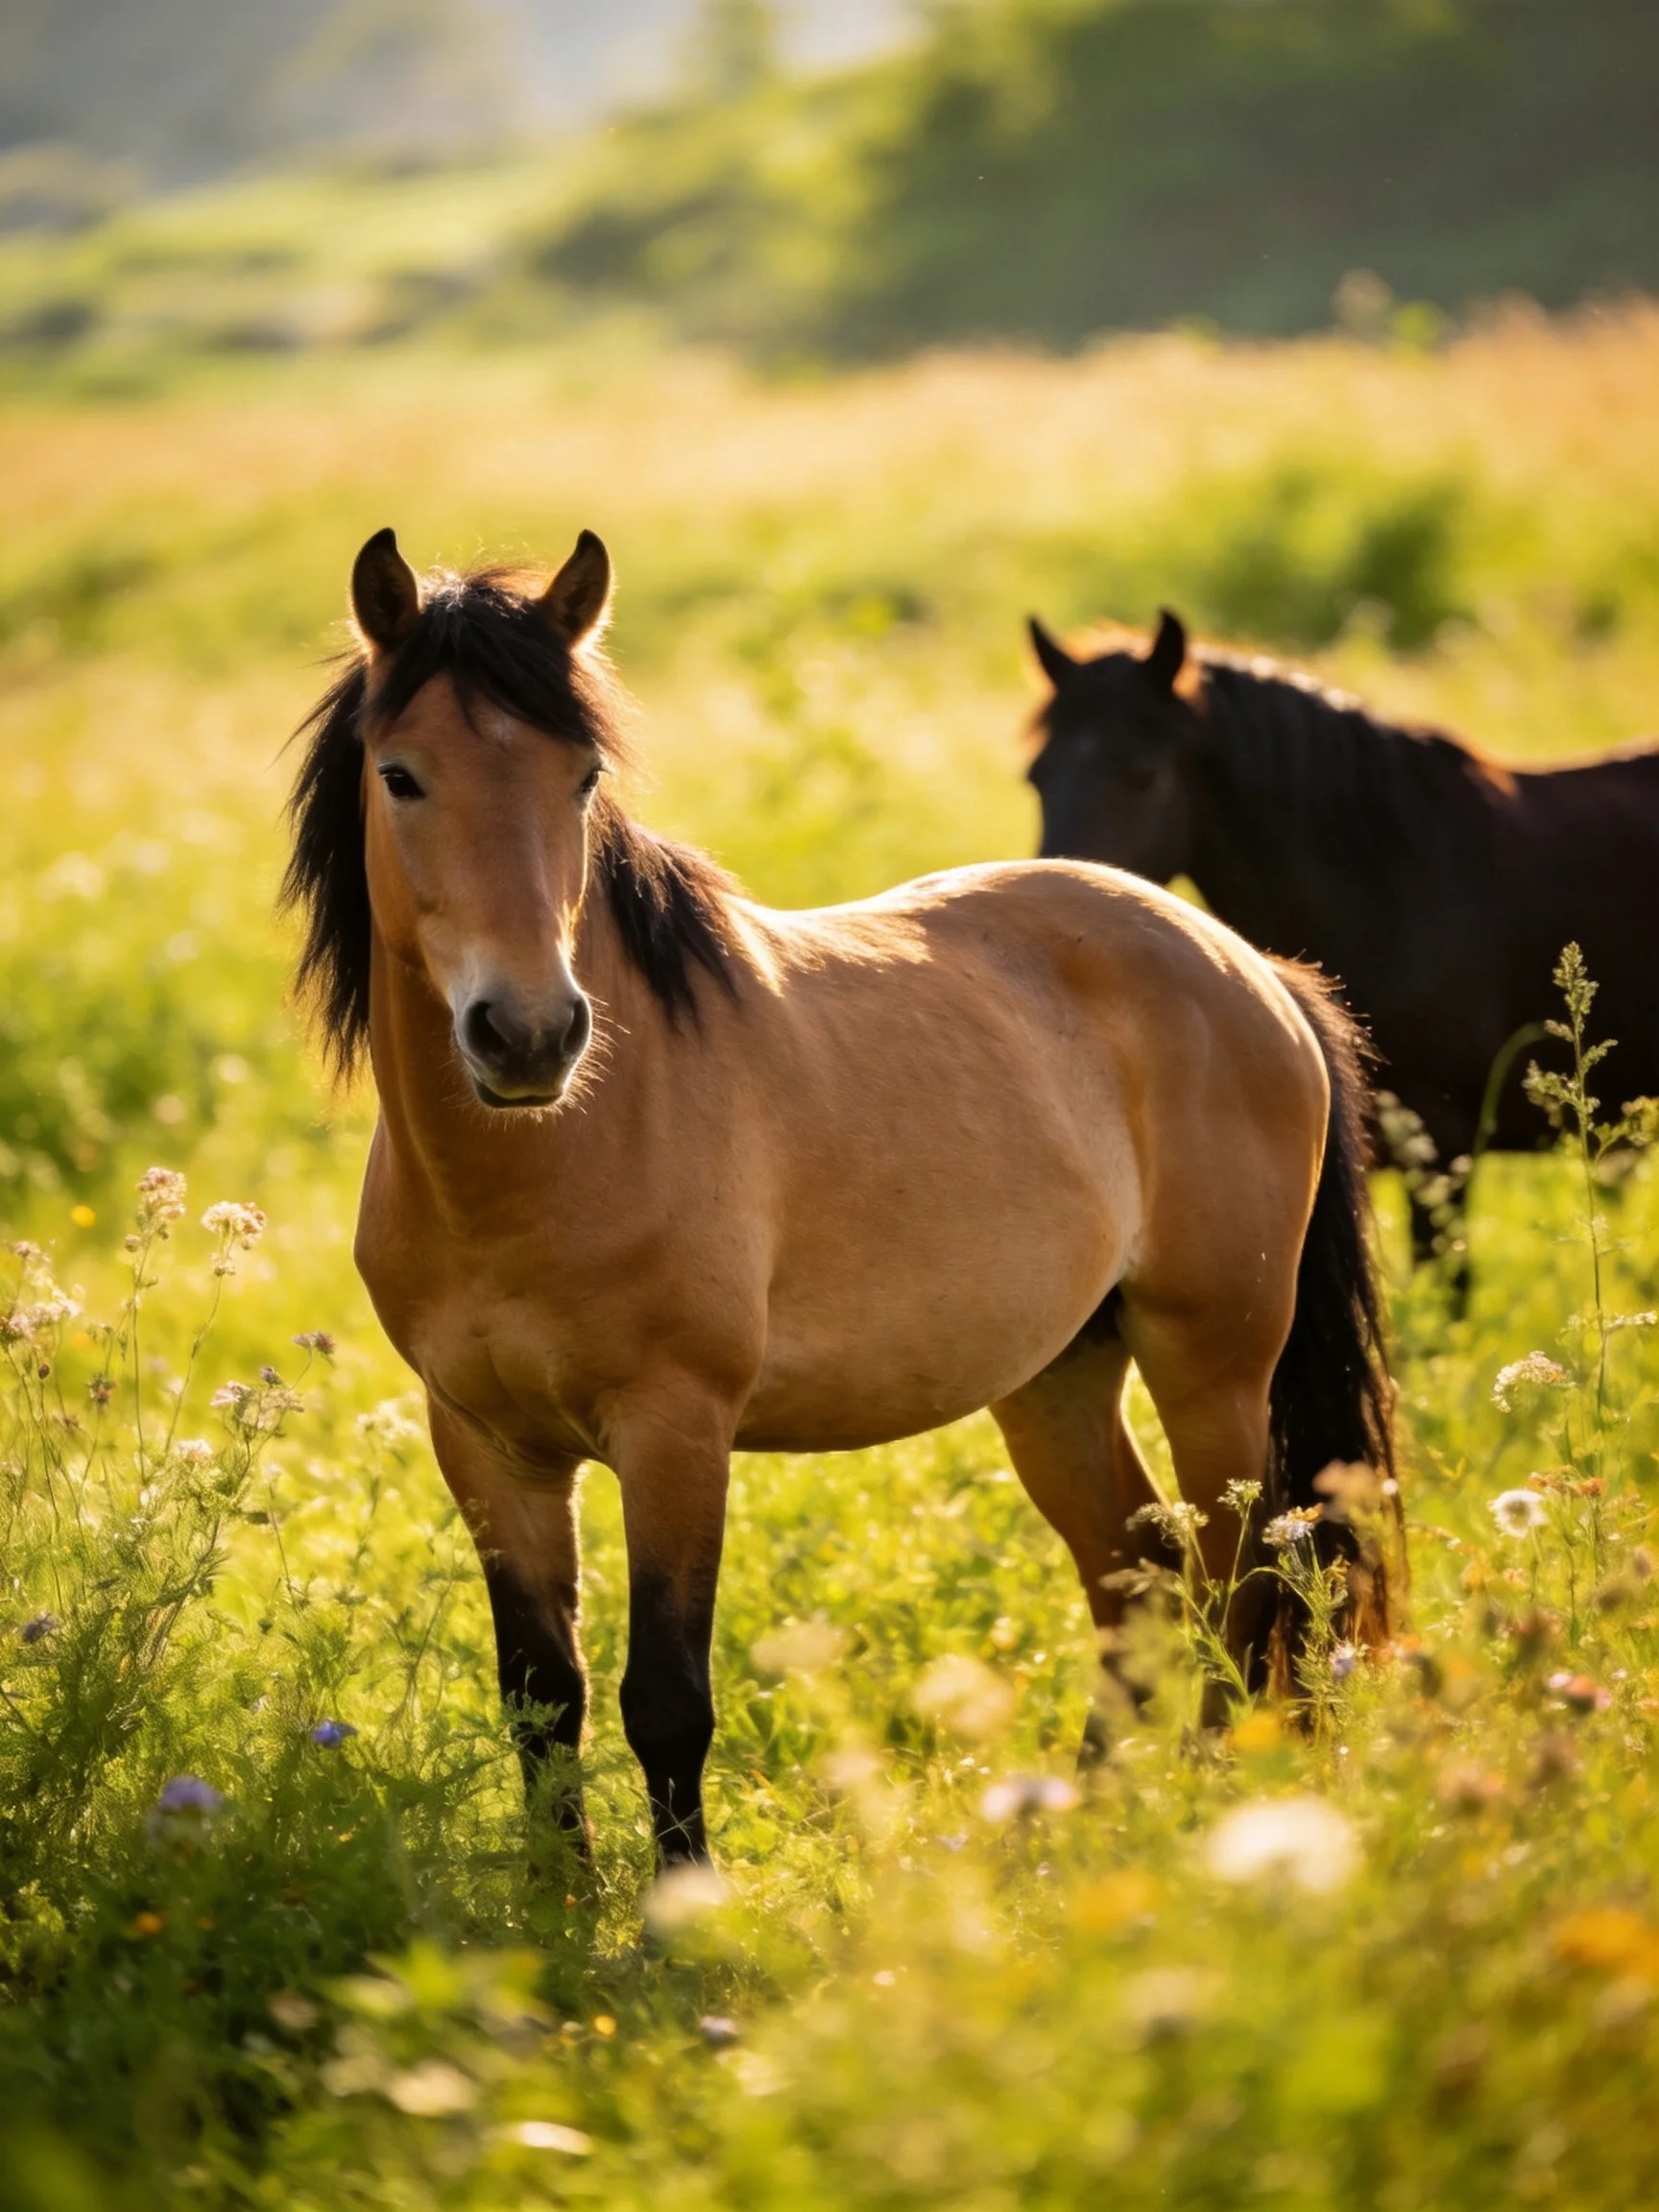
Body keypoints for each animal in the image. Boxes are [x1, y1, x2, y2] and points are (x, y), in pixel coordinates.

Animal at [282, 528, 1393, 1867]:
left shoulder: (675, 1434)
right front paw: (562, 1906)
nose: (532, 1034)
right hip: (1060, 1372)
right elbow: (542, 1700)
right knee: (1139, 1571)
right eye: (401, 776)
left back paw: (1209, 1813)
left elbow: (666, 1700)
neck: (539, 1164)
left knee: (1249, 1577)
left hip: (1213, 1364)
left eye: (582, 777)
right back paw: (1072, 1832)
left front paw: (679, 1910)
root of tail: (1251, 967)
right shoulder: (487, 1449)